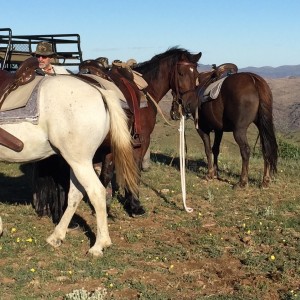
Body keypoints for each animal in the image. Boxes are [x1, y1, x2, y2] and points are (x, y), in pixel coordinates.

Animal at [0, 74, 138, 256]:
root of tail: (99, 90)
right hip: (76, 162)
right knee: (75, 194)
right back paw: (57, 236)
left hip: (80, 162)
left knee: (96, 192)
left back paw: (99, 245)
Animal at [31, 47, 202, 220]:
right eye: (181, 73)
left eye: (196, 75)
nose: (190, 106)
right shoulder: (141, 141)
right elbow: (133, 170)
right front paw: (133, 205)